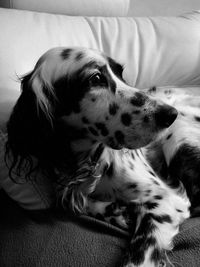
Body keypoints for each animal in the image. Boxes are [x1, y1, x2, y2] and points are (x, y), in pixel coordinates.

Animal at [5, 47, 197, 266]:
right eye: (95, 78)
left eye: (120, 73)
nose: (170, 114)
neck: (84, 162)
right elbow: (69, 203)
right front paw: (118, 212)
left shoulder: (165, 200)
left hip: (178, 132)